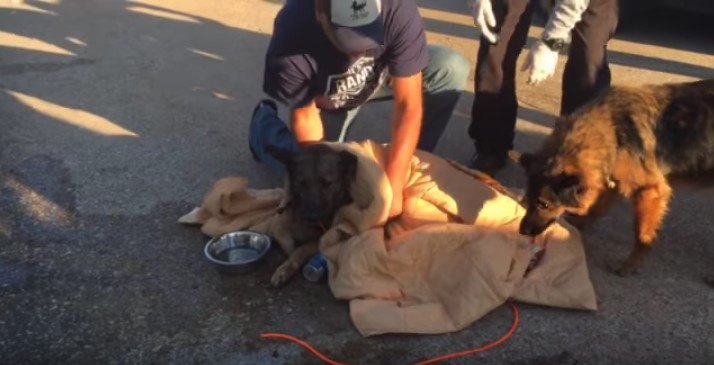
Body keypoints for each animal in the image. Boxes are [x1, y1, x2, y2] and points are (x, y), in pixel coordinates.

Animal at [516, 79, 712, 272]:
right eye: (527, 199)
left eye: (544, 204)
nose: (522, 231)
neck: (613, 131)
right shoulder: (612, 180)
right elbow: (597, 207)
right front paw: (580, 225)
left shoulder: (649, 191)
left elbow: (642, 233)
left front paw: (630, 264)